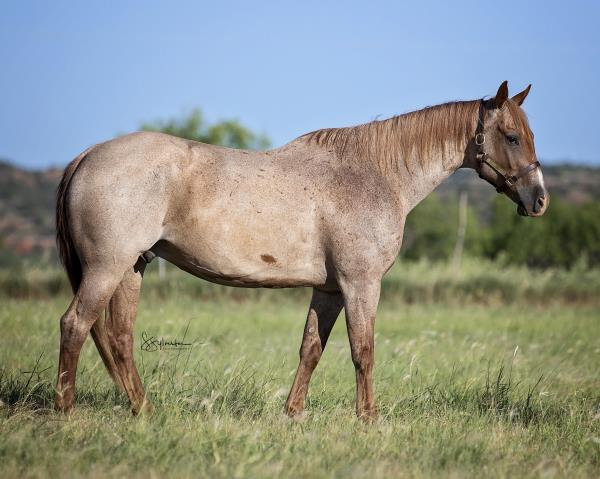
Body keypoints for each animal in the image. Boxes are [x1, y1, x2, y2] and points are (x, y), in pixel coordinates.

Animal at [56, 81, 548, 420]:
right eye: (510, 136)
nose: (539, 199)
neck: (375, 174)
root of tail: (88, 154)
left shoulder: (329, 289)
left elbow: (311, 348)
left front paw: (293, 414)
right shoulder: (360, 284)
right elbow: (363, 349)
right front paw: (368, 418)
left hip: (131, 269)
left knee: (118, 337)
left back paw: (144, 410)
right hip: (108, 268)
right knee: (76, 325)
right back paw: (67, 410)